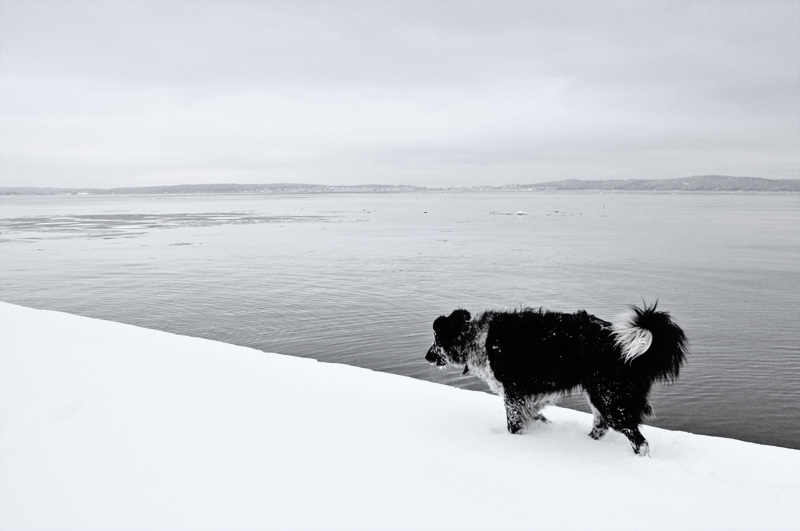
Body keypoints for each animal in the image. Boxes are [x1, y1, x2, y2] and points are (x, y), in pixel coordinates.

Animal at [424, 306, 688, 456]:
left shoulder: (513, 393)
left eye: (436, 338)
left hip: (611, 400)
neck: (475, 336)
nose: (427, 357)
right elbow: (534, 415)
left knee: (639, 441)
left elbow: (514, 425)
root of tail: (621, 344)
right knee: (601, 426)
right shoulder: (527, 397)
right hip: (599, 396)